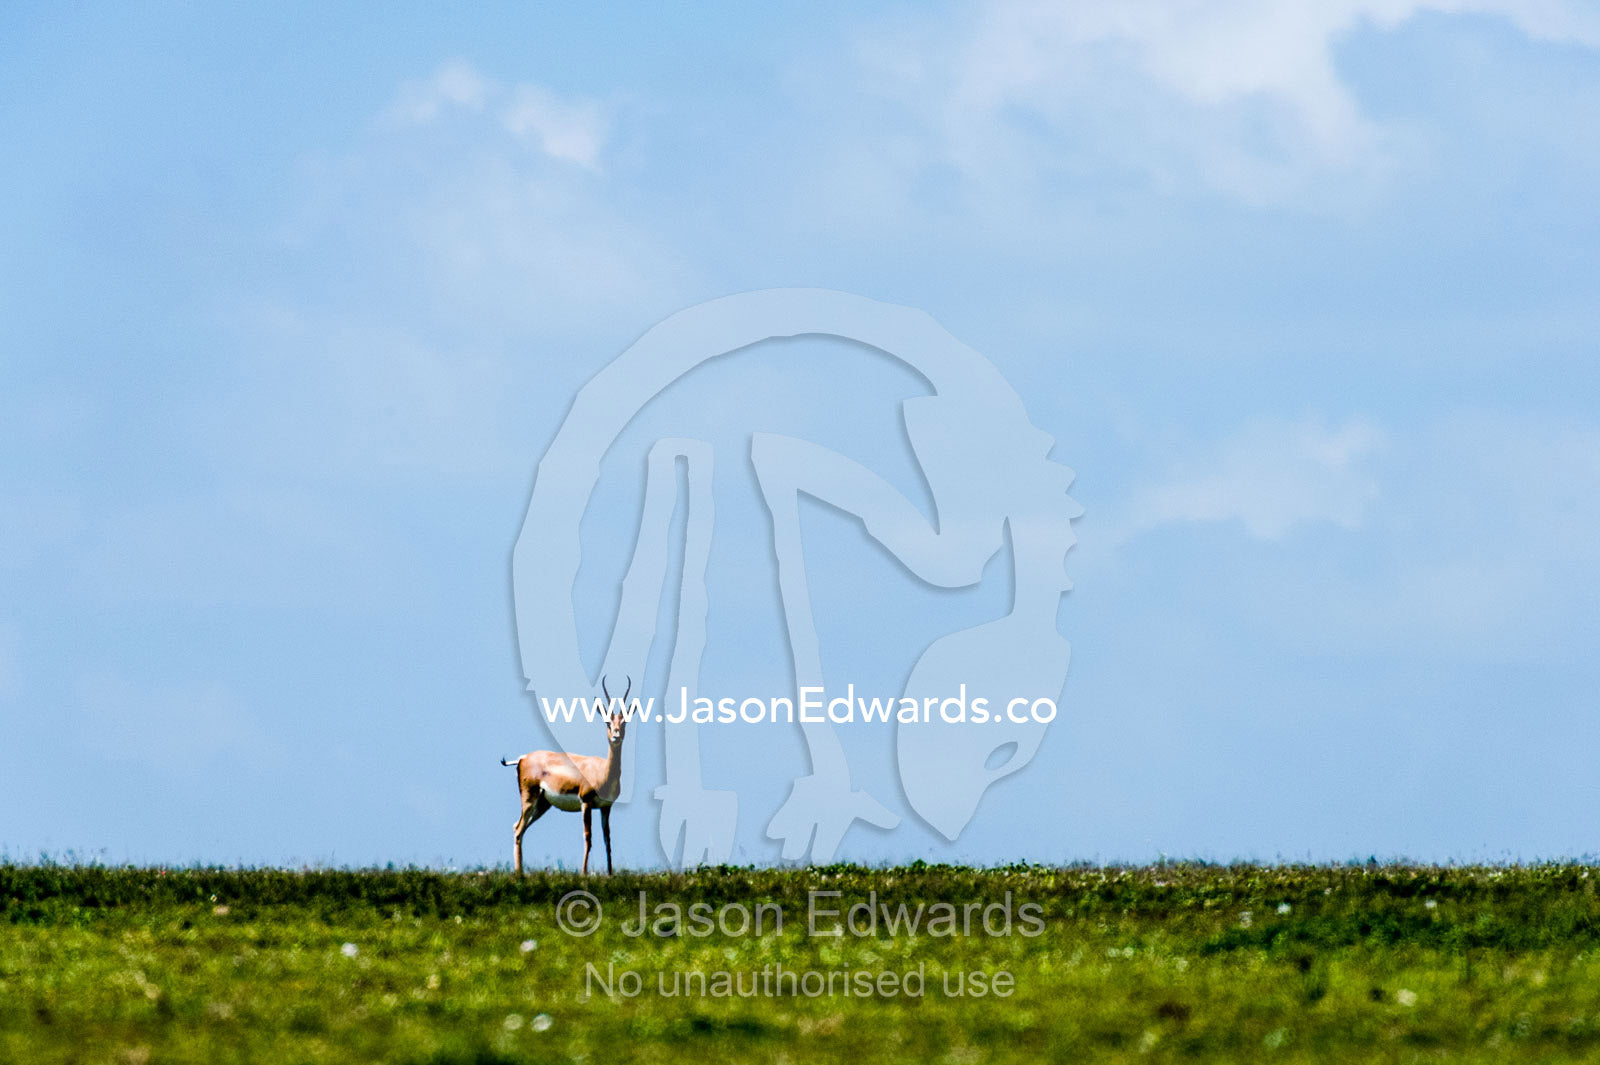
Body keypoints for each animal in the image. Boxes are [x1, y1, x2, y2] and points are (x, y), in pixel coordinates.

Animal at [501, 677, 630, 875]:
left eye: (623, 723)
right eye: (608, 723)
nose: (616, 736)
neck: (602, 771)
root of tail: (523, 757)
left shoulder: (606, 807)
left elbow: (607, 839)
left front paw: (610, 874)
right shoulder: (586, 803)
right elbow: (588, 837)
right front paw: (584, 873)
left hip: (543, 805)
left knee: (518, 827)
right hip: (529, 799)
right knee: (518, 829)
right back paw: (519, 874)